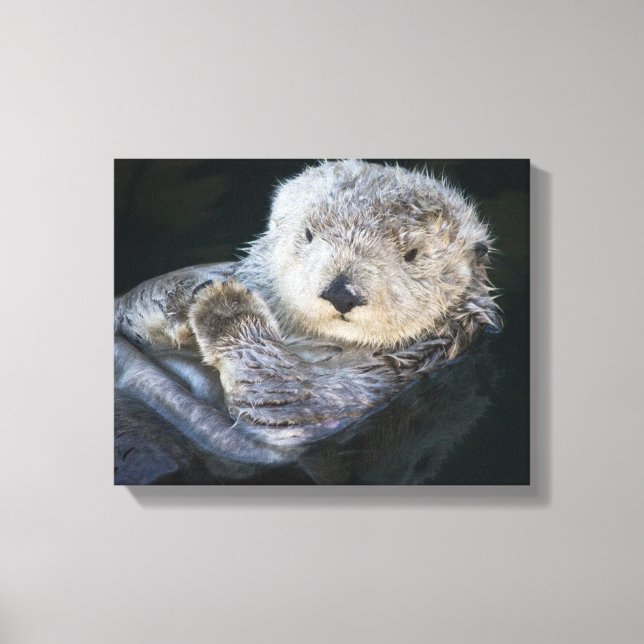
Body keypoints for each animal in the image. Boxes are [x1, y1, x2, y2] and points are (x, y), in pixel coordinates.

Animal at [115, 160, 500, 449]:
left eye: (413, 254)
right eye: (309, 234)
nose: (342, 292)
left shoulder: (366, 389)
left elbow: (286, 397)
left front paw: (225, 305)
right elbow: (131, 305)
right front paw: (189, 294)